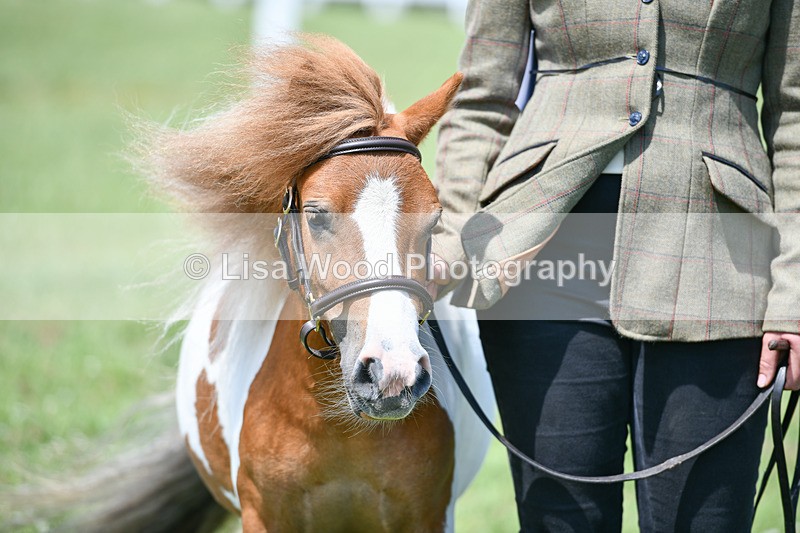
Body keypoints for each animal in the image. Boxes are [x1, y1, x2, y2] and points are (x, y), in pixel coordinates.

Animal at [143, 35, 495, 532]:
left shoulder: (428, 516)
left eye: (435, 220)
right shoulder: (263, 515)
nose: (393, 372)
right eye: (316, 215)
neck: (333, 427)